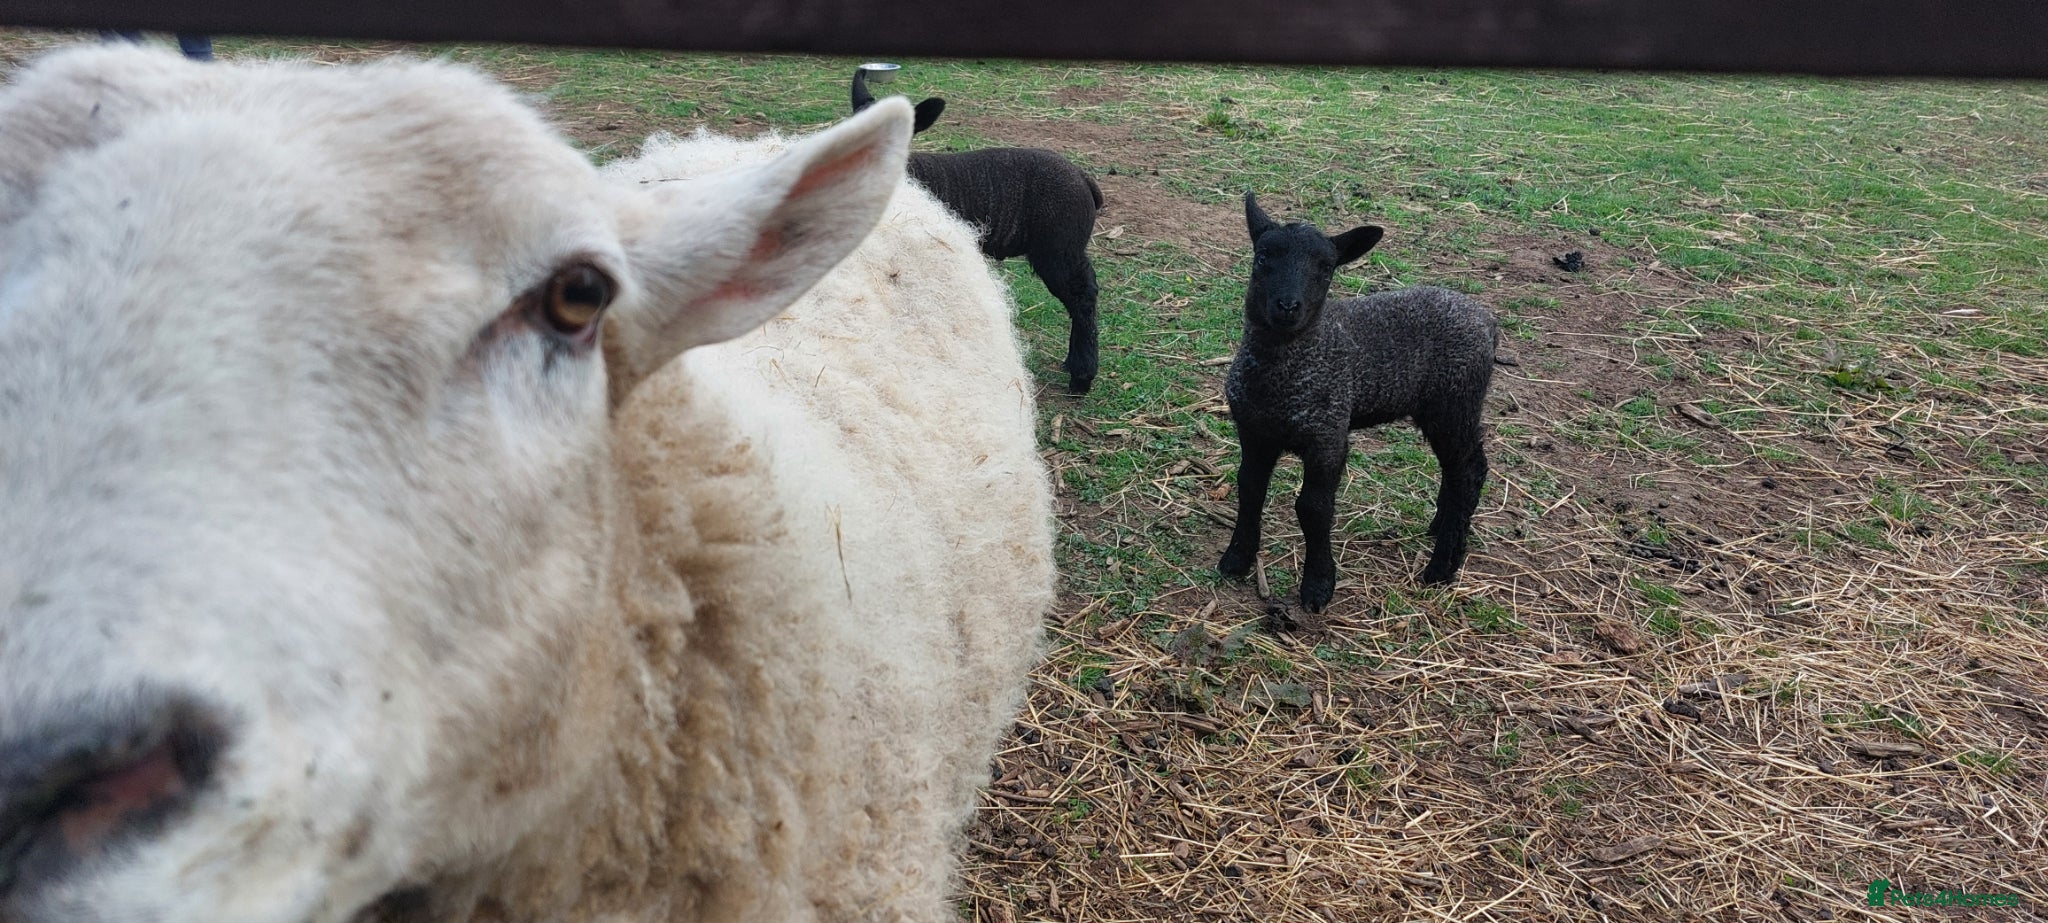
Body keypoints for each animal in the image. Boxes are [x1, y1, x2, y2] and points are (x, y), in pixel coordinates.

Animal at [1216, 192, 1497, 612]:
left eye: (1326, 268)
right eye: (1263, 257)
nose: (1287, 306)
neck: (1280, 376)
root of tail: (1486, 321)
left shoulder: (1328, 436)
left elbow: (1313, 508)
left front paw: (1318, 586)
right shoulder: (1253, 431)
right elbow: (1249, 488)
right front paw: (1236, 558)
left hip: (1456, 401)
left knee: (1469, 472)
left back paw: (1442, 567)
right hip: (1441, 408)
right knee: (1457, 469)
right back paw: (1438, 528)